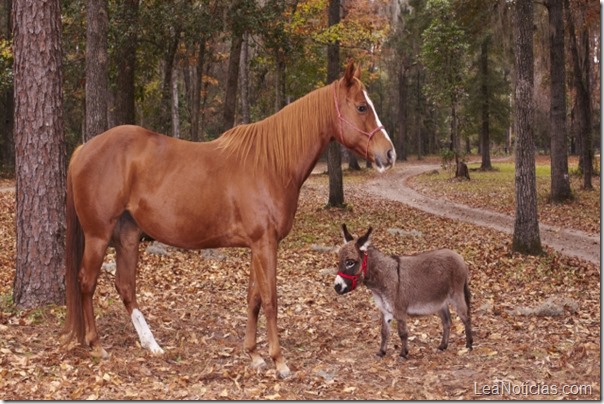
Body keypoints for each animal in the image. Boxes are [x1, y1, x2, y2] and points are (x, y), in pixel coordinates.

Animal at [60, 61, 392, 378]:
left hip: (128, 237)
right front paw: (279, 362)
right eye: (362, 107)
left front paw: (255, 355)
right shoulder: (265, 244)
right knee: (86, 282)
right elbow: (270, 300)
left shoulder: (258, 245)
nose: (388, 154)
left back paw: (151, 345)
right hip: (98, 236)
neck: (271, 164)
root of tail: (84, 149)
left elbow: (253, 299)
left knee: (125, 286)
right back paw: (97, 345)